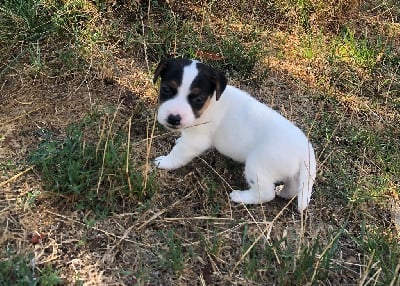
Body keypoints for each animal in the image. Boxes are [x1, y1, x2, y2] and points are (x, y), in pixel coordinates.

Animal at [152, 57, 316, 212]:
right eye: (166, 89)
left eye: (198, 99)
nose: (173, 118)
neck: (212, 102)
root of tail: (304, 149)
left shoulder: (196, 141)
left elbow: (177, 154)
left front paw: (165, 162)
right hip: (293, 174)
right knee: (293, 187)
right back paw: (283, 192)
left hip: (257, 166)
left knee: (266, 193)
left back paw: (241, 197)